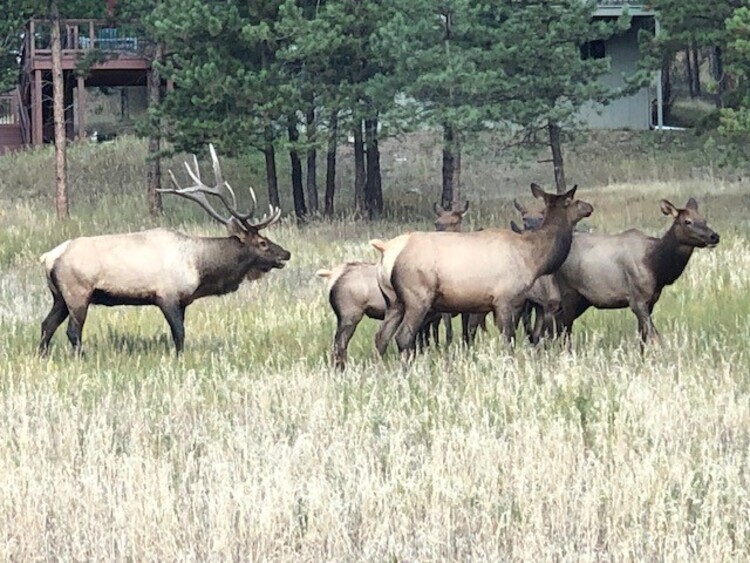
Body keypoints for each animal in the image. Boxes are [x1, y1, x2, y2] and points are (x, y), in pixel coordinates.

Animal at [38, 145, 292, 356]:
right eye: (263, 243)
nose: (286, 253)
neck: (200, 268)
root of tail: (48, 257)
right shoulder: (166, 295)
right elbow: (179, 334)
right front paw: (179, 358)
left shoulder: (182, 301)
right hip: (77, 292)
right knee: (72, 331)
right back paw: (81, 358)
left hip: (59, 296)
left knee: (46, 324)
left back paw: (43, 356)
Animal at [370, 185, 592, 362]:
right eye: (573, 199)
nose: (589, 207)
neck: (533, 259)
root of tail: (387, 252)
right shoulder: (504, 299)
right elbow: (508, 339)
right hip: (417, 296)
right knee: (403, 336)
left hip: (394, 301)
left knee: (381, 336)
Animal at [556, 198, 720, 348]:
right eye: (687, 221)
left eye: (704, 220)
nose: (714, 236)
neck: (657, 267)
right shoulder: (637, 300)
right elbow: (655, 338)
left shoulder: (651, 301)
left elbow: (643, 339)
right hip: (569, 292)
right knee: (565, 330)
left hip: (584, 300)